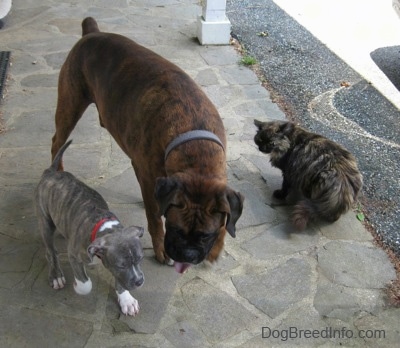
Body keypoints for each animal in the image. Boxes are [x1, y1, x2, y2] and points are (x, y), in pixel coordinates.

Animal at [34, 139, 144, 316]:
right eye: (121, 265)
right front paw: (78, 287)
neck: (105, 226)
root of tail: (50, 172)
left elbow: (120, 281)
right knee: (50, 251)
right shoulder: (74, 255)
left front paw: (126, 299)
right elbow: (86, 284)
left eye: (140, 259)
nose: (139, 281)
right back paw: (56, 276)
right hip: (45, 221)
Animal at [50, 17, 244, 272]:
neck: (195, 144)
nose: (187, 255)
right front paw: (160, 248)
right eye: (175, 229)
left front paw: (218, 246)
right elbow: (154, 217)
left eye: (205, 235)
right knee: (56, 142)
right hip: (70, 106)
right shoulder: (148, 176)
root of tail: (91, 33)